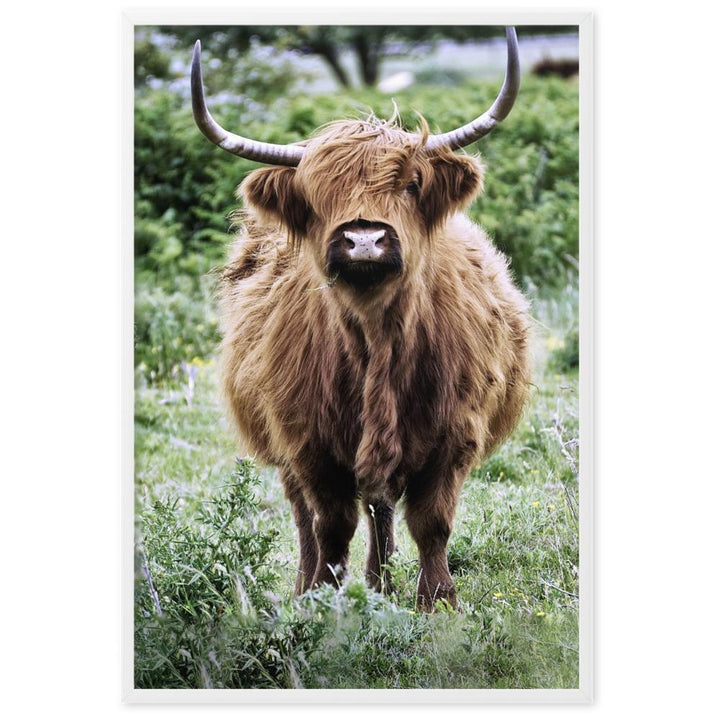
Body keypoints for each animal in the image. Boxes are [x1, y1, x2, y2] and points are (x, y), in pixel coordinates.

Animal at [191, 28, 531, 611]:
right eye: (315, 195)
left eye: (412, 184)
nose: (365, 239)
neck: (378, 339)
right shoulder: (307, 442)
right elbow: (330, 524)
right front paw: (323, 601)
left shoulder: (455, 435)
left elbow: (431, 522)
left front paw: (437, 602)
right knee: (310, 516)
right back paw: (319, 585)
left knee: (381, 505)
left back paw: (381, 581)